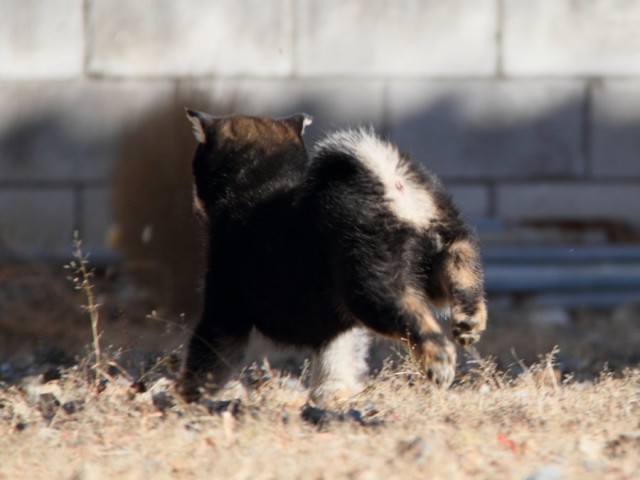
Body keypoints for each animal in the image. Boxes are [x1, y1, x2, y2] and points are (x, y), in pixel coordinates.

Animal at [178, 109, 488, 404]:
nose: (192, 209)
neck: (255, 180)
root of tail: (389, 181)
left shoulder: (224, 307)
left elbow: (207, 362)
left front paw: (192, 400)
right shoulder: (339, 324)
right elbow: (338, 357)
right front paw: (334, 395)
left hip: (370, 288)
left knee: (416, 320)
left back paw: (439, 361)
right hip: (445, 245)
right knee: (464, 273)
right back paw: (469, 321)